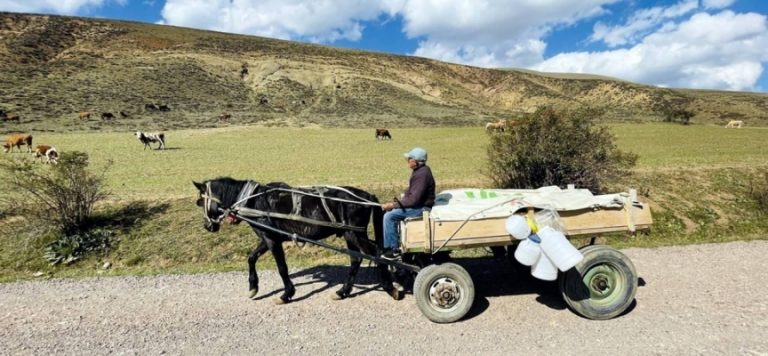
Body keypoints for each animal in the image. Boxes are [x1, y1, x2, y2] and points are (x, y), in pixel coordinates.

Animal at [192, 177, 400, 304]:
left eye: (200, 201)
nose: (207, 226)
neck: (252, 202)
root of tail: (366, 196)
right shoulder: (268, 237)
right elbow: (251, 258)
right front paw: (253, 287)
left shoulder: (272, 240)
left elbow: (282, 268)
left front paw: (286, 294)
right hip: (350, 235)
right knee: (356, 259)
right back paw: (343, 291)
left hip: (355, 234)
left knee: (376, 255)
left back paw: (390, 288)